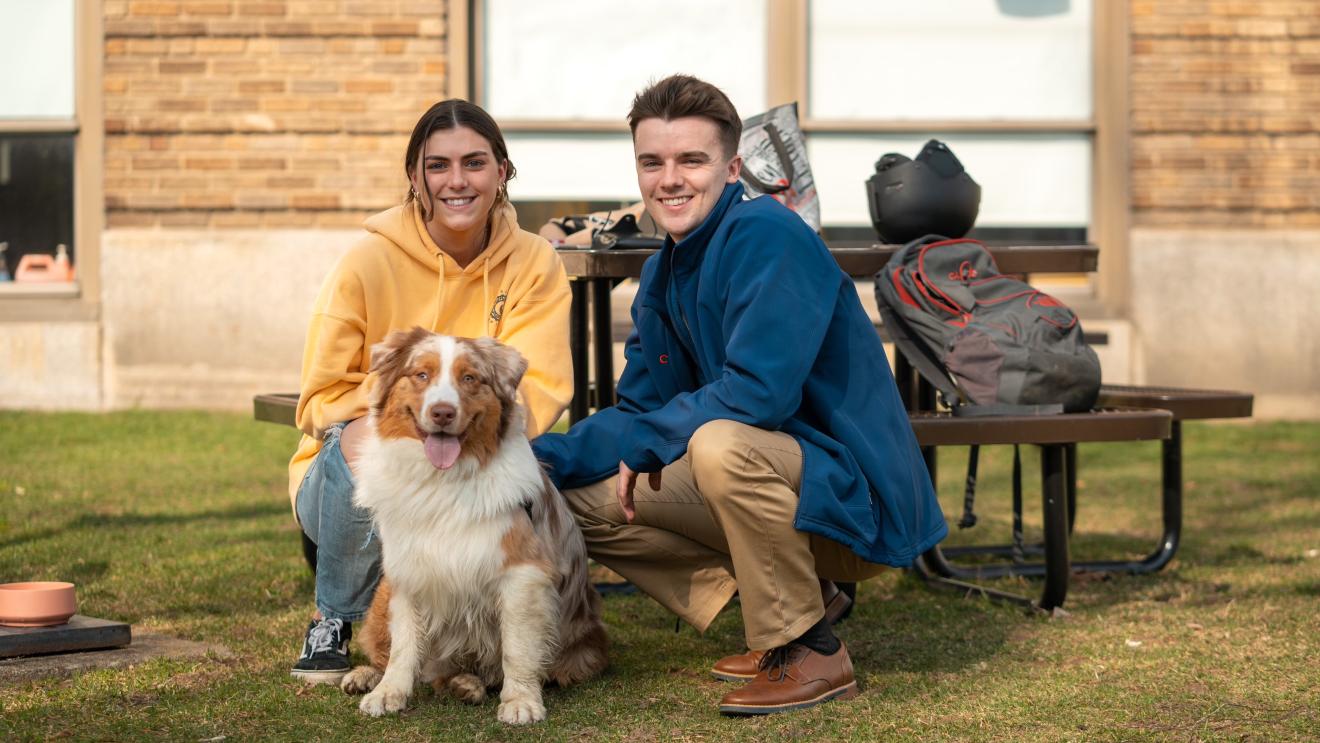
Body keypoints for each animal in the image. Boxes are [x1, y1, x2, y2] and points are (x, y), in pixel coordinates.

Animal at [340, 331, 607, 728]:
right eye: (421, 375)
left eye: (469, 378)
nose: (443, 412)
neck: (443, 482)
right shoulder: (407, 572)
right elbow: (404, 646)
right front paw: (389, 693)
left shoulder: (522, 575)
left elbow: (517, 647)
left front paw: (521, 701)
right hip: (381, 597)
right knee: (392, 654)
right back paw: (366, 676)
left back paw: (467, 684)